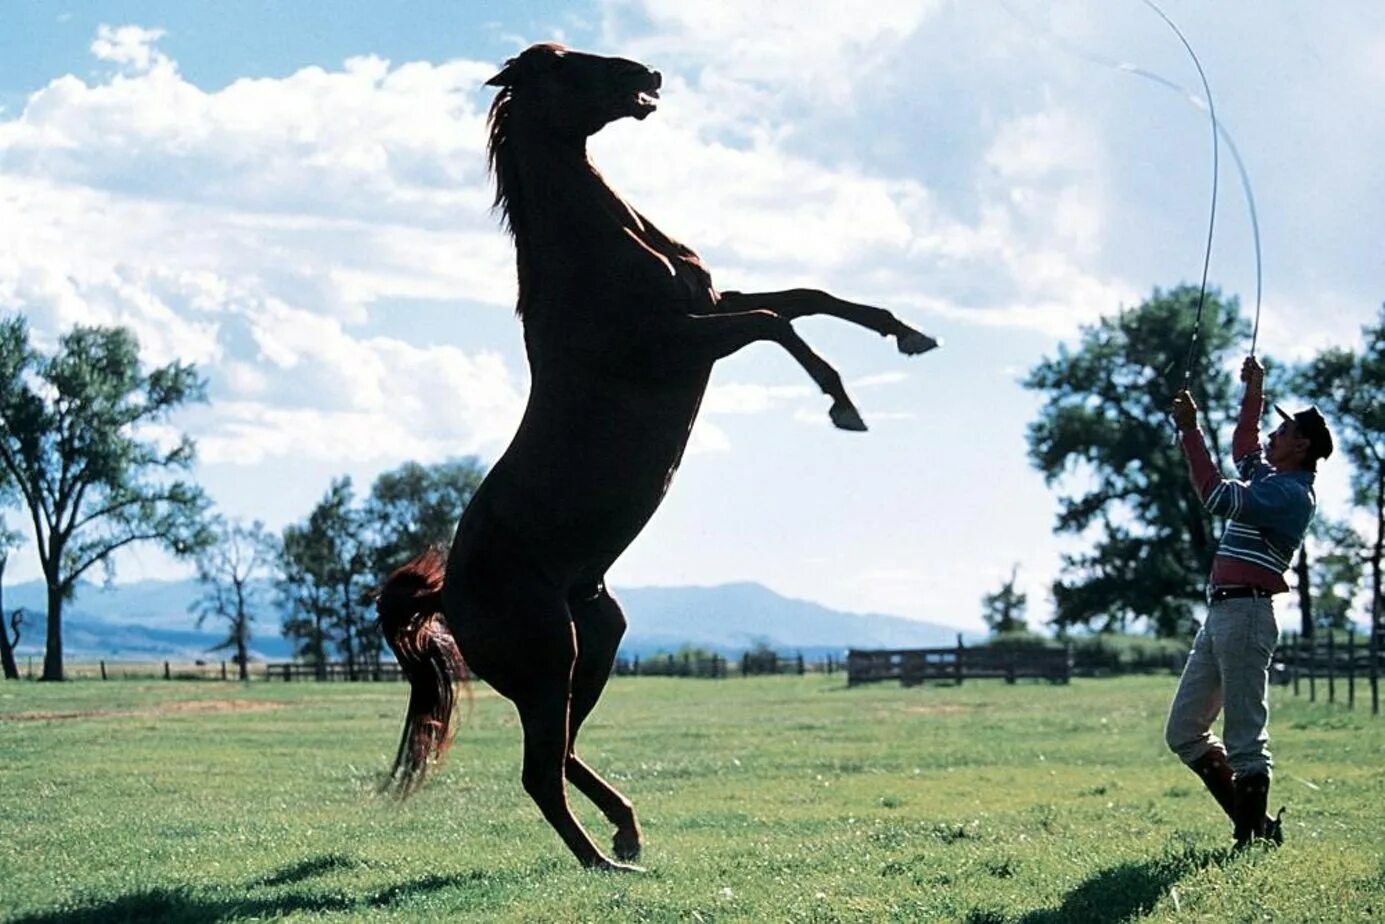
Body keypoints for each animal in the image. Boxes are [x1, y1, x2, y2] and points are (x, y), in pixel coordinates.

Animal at [376, 41, 941, 869]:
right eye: (563, 65)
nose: (648, 75)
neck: (598, 261)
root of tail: (446, 597)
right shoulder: (683, 341)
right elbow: (777, 322)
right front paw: (843, 405)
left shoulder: (711, 305)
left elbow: (808, 298)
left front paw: (907, 334)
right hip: (549, 658)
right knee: (539, 770)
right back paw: (604, 862)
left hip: (594, 643)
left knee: (561, 752)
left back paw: (626, 830)